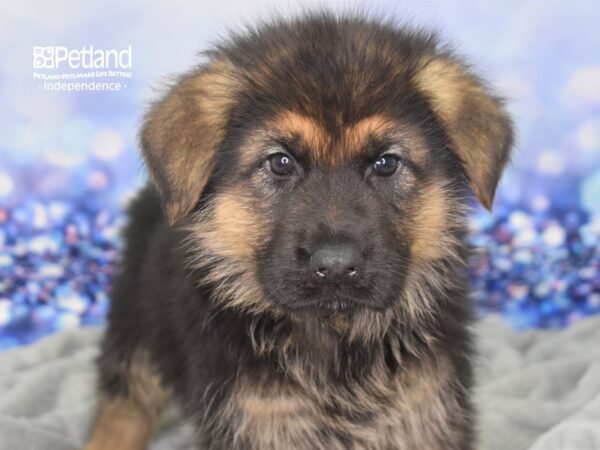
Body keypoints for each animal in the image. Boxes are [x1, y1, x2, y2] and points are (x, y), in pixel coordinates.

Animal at [86, 11, 512, 450]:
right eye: (281, 163)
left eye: (387, 163)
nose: (337, 267)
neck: (337, 337)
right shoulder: (258, 419)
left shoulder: (425, 410)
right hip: (136, 314)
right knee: (124, 403)